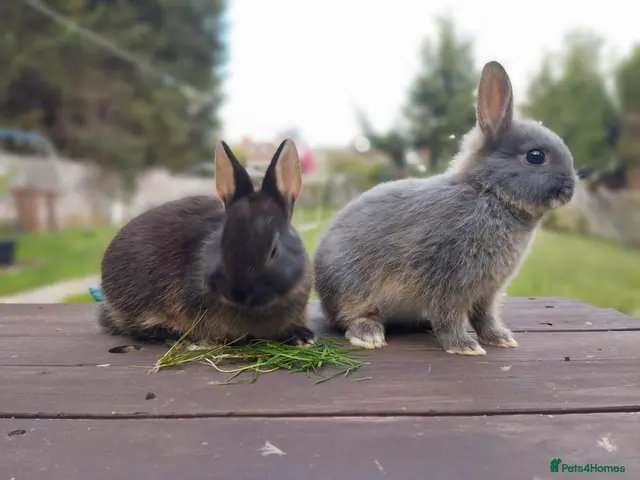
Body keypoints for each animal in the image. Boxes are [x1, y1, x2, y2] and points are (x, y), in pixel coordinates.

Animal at [313, 60, 577, 356]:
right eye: (535, 156)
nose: (570, 189)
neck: (490, 194)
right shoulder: (450, 282)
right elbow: (449, 316)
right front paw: (465, 347)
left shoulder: (487, 292)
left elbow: (485, 317)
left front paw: (500, 339)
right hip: (352, 287)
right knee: (352, 317)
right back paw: (369, 335)